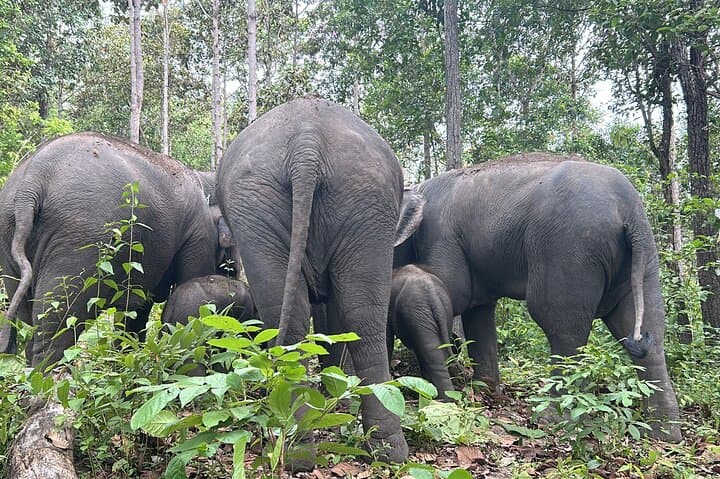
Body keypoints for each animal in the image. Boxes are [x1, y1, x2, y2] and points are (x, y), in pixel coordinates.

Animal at [0, 132, 222, 367]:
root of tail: (31, 182)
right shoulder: (199, 232)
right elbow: (193, 290)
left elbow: (136, 309)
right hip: (81, 238)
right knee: (57, 323)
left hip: (8, 234)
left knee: (27, 317)